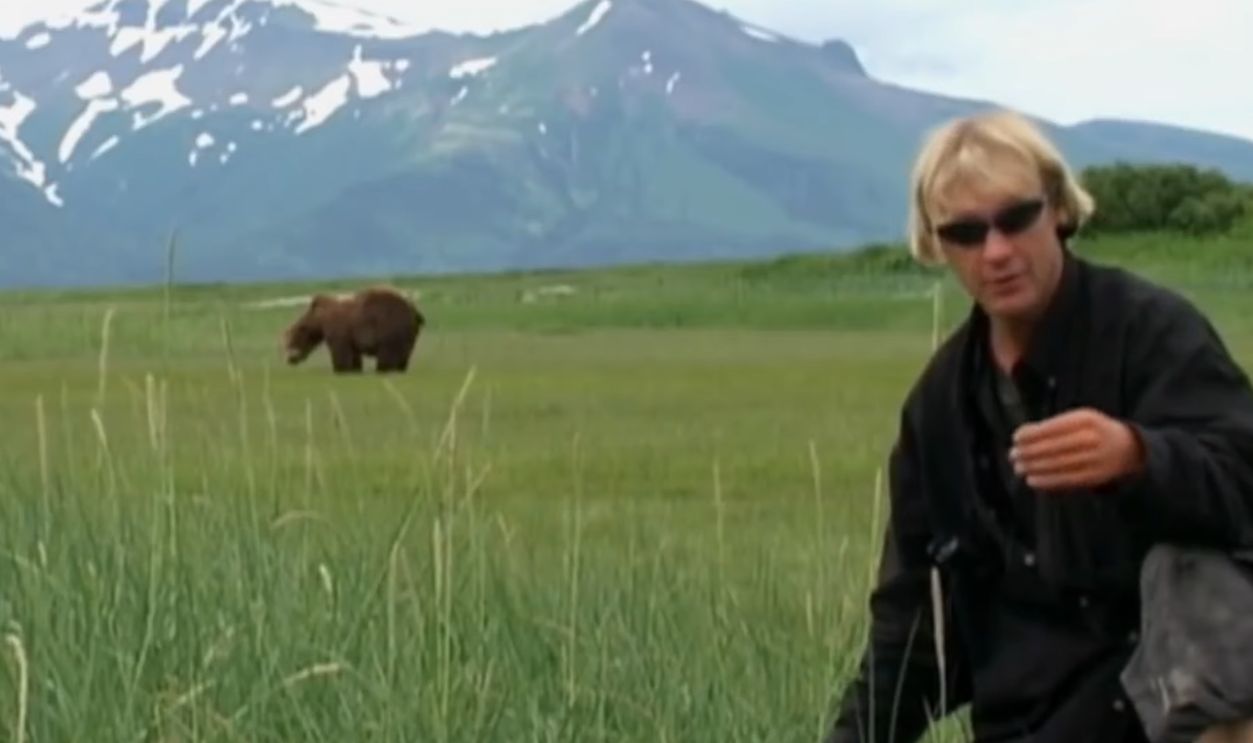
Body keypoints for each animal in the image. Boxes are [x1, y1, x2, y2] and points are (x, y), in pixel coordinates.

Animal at [282, 286, 426, 373]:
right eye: (285, 344)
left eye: (291, 340)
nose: (290, 359)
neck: (319, 319)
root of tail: (413, 309)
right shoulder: (351, 338)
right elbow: (354, 356)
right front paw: (355, 368)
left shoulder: (338, 329)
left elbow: (340, 353)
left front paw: (340, 369)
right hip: (408, 336)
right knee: (403, 357)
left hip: (390, 327)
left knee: (387, 355)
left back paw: (383, 369)